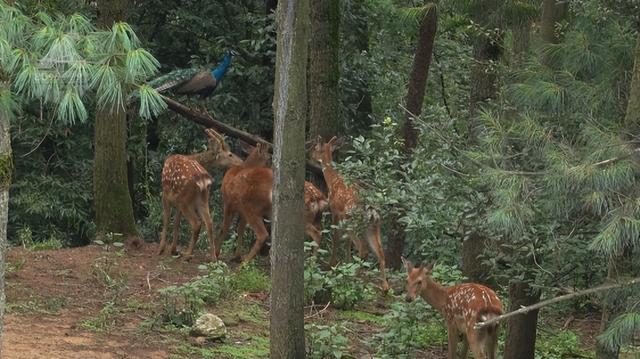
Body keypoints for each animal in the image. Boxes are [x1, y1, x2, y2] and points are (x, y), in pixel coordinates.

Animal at [158, 129, 242, 262]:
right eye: (230, 154)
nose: (242, 162)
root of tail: (203, 179)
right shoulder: (175, 201)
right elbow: (176, 222)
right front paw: (173, 249)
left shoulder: (166, 194)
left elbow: (166, 220)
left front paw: (161, 249)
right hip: (201, 197)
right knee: (209, 222)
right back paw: (213, 257)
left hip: (185, 199)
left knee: (197, 222)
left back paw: (188, 255)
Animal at [310, 136, 390, 292]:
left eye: (316, 148)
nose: (310, 156)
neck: (332, 181)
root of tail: (371, 211)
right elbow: (346, 242)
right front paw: (346, 264)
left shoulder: (335, 211)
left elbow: (336, 238)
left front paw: (332, 264)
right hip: (373, 227)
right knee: (380, 252)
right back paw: (385, 286)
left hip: (354, 222)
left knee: (363, 249)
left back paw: (355, 278)